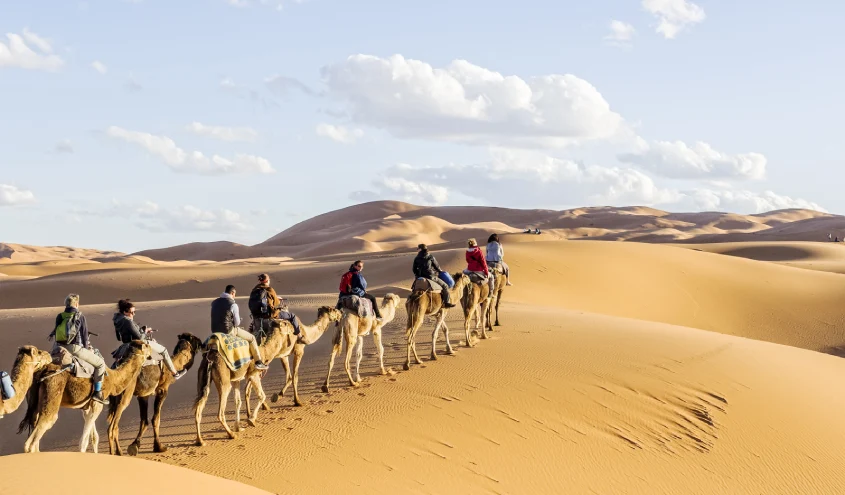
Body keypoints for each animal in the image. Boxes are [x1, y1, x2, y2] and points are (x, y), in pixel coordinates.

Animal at [19, 340, 151, 458]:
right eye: (146, 345)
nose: (151, 351)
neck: (113, 379)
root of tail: (42, 371)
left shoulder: (87, 407)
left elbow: (94, 437)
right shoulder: (98, 403)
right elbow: (83, 442)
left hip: (34, 401)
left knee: (35, 422)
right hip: (53, 390)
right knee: (41, 430)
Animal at [195, 306, 340, 450]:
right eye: (333, 310)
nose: (339, 312)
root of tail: (210, 357)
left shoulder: (244, 375)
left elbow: (239, 400)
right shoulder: (297, 351)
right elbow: (291, 378)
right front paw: (296, 401)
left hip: (205, 379)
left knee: (199, 407)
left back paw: (200, 440)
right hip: (224, 381)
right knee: (221, 410)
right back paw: (232, 433)